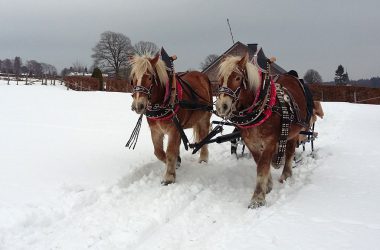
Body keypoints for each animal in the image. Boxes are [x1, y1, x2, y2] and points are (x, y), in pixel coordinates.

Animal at [130, 52, 214, 185]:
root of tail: (202, 75)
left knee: (204, 136)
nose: (138, 106)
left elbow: (170, 152)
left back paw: (203, 159)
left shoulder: (173, 130)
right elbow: (159, 152)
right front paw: (177, 162)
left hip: (204, 118)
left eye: (150, 78)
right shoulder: (156, 131)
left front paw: (169, 176)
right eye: (133, 78)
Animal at [215, 53, 310, 209]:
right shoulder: (250, 142)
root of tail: (290, 76)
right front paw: (268, 186)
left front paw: (257, 199)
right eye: (220, 78)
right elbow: (259, 162)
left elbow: (262, 166)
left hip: (293, 133)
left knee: (289, 152)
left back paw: (286, 175)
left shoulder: (269, 141)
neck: (262, 107)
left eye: (237, 78)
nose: (222, 106)